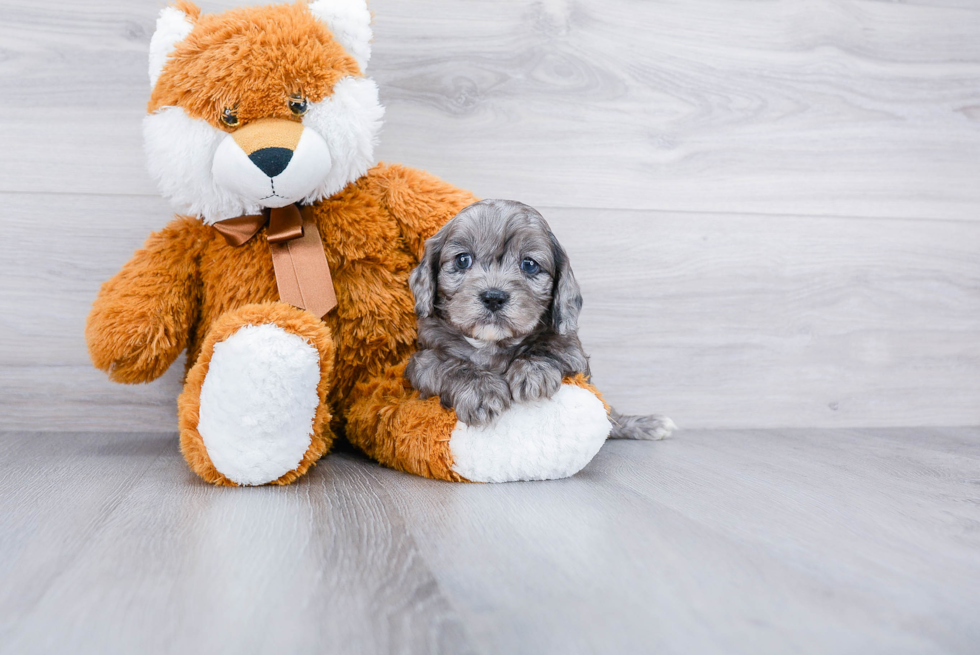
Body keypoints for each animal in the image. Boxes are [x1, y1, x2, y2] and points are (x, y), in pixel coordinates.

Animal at [402, 197, 668, 438]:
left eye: (529, 264)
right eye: (462, 259)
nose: (493, 297)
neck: (492, 344)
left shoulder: (575, 355)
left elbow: (550, 347)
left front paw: (532, 371)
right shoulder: (422, 361)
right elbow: (450, 365)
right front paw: (481, 390)